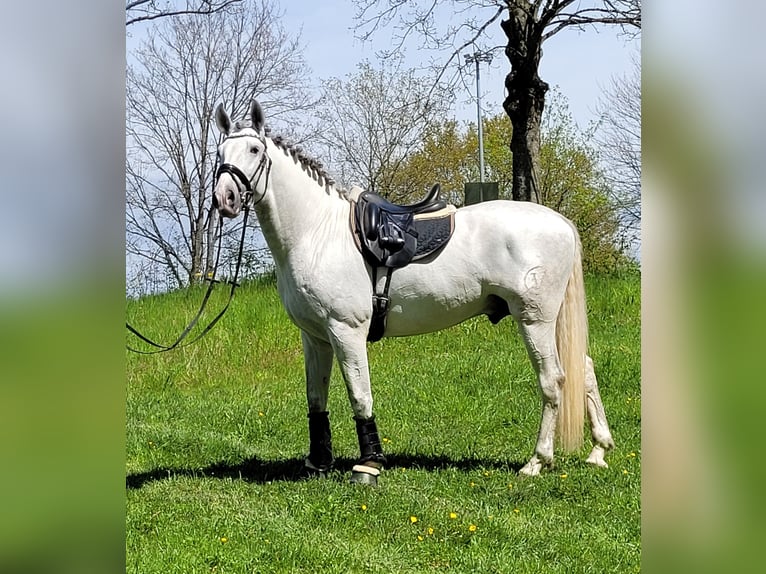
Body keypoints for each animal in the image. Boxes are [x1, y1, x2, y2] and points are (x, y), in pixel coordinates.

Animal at [213, 100, 616, 486]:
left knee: (553, 380)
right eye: (220, 152)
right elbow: (316, 399)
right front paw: (319, 462)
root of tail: (560, 222)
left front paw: (369, 466)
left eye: (254, 149)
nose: (225, 199)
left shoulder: (346, 332)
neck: (318, 233)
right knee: (584, 369)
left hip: (534, 320)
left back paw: (537, 461)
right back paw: (598, 450)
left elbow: (360, 396)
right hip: (552, 321)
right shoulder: (315, 337)